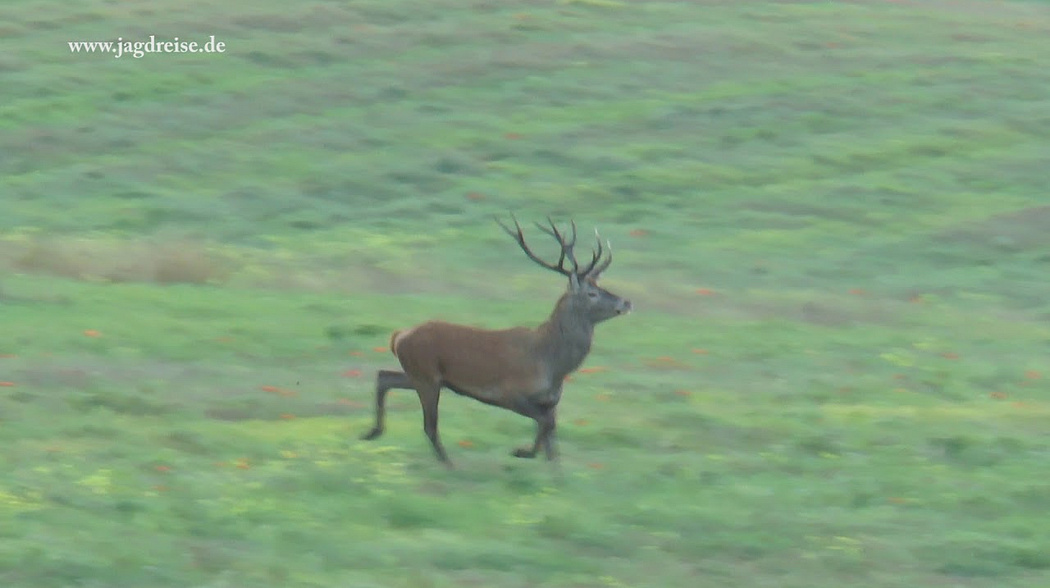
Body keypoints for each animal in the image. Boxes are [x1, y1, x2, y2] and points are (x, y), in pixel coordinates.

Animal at [361, 216, 630, 468]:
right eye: (592, 293)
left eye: (602, 286)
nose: (626, 302)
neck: (552, 365)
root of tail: (399, 336)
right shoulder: (509, 392)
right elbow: (545, 426)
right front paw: (521, 452)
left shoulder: (550, 402)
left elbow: (552, 440)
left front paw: (555, 476)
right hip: (426, 375)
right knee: (429, 425)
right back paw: (450, 466)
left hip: (421, 375)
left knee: (384, 376)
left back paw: (372, 432)